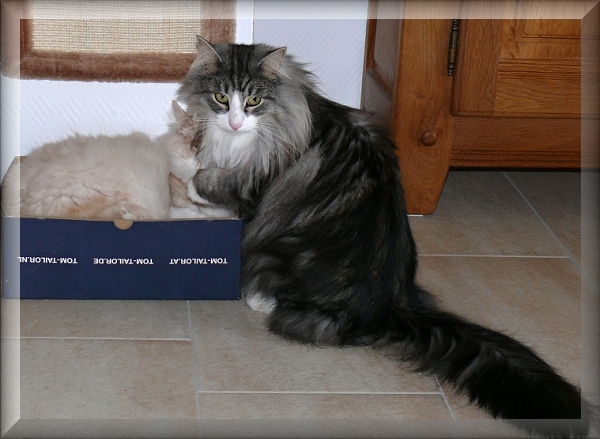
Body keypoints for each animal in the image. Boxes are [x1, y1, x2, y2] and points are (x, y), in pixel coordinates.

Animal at [178, 37, 596, 438]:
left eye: (254, 101)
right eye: (221, 98)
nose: (234, 123)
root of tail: (390, 308)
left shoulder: (255, 183)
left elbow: (217, 182)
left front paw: (192, 181)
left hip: (276, 253)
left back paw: (259, 299)